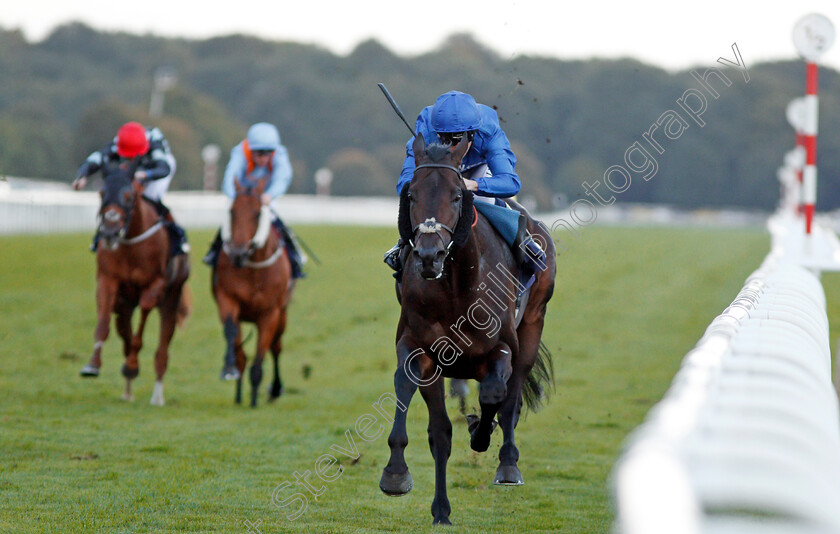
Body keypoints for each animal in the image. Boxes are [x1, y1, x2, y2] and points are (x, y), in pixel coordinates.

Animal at [79, 161, 190, 408]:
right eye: (101, 193)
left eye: (129, 196)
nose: (109, 232)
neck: (131, 244)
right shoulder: (107, 280)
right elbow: (103, 324)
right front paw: (93, 365)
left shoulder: (155, 284)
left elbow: (142, 325)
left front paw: (131, 364)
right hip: (125, 306)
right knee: (123, 331)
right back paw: (127, 391)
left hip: (171, 298)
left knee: (162, 349)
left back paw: (157, 396)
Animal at [212, 178, 294, 408]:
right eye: (232, 211)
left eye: (257, 213)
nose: (238, 253)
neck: (252, 269)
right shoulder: (227, 298)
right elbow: (231, 333)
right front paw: (229, 370)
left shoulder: (270, 312)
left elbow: (262, 351)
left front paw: (255, 397)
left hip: (283, 314)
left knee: (276, 346)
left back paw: (274, 389)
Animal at [380, 134, 556, 528]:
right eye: (411, 195)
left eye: (457, 196)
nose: (429, 255)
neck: (456, 287)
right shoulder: (419, 348)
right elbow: (420, 407)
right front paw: (397, 474)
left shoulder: (502, 347)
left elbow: (494, 395)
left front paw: (481, 433)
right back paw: (442, 508)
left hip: (533, 326)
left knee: (511, 400)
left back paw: (507, 462)